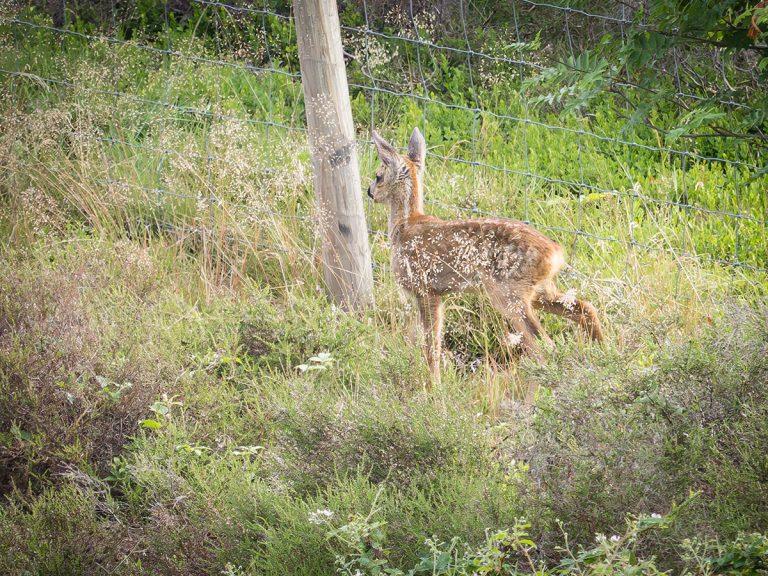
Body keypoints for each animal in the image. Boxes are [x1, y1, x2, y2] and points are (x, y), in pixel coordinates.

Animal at [367, 127, 604, 389]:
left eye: (378, 175)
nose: (370, 192)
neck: (405, 226)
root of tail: (555, 254)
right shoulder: (436, 293)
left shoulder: (426, 290)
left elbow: (431, 346)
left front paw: (434, 387)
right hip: (537, 290)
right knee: (585, 309)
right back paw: (603, 354)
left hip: (507, 292)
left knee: (544, 346)